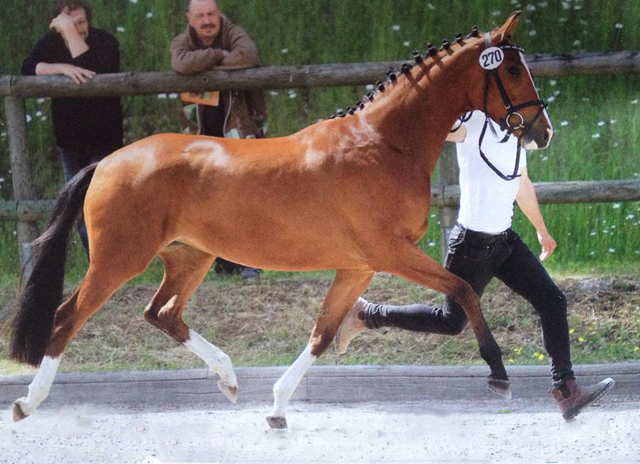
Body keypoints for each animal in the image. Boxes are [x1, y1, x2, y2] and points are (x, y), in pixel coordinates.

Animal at [8, 11, 552, 432]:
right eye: (514, 70)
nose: (542, 132)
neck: (382, 144)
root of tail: (107, 161)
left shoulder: (359, 266)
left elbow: (322, 333)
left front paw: (276, 408)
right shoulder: (392, 253)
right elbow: (463, 290)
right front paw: (499, 375)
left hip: (190, 257)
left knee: (161, 314)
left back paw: (229, 379)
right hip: (119, 259)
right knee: (67, 317)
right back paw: (27, 403)